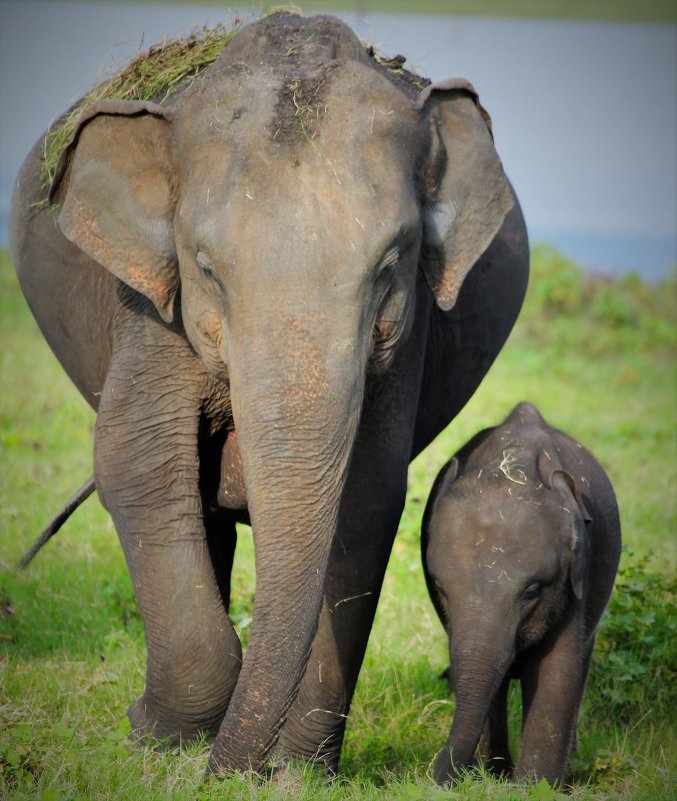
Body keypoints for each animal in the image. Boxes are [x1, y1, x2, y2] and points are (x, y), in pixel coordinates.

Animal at [9, 10, 528, 776]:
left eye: (390, 263)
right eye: (205, 266)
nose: (218, 776)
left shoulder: (407, 337)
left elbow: (368, 495)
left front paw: (294, 771)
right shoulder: (151, 308)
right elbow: (138, 463)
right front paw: (155, 737)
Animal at [420, 404, 620, 784]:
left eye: (532, 591)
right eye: (440, 590)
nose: (436, 779)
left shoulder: (577, 574)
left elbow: (558, 672)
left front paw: (535, 785)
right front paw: (498, 778)